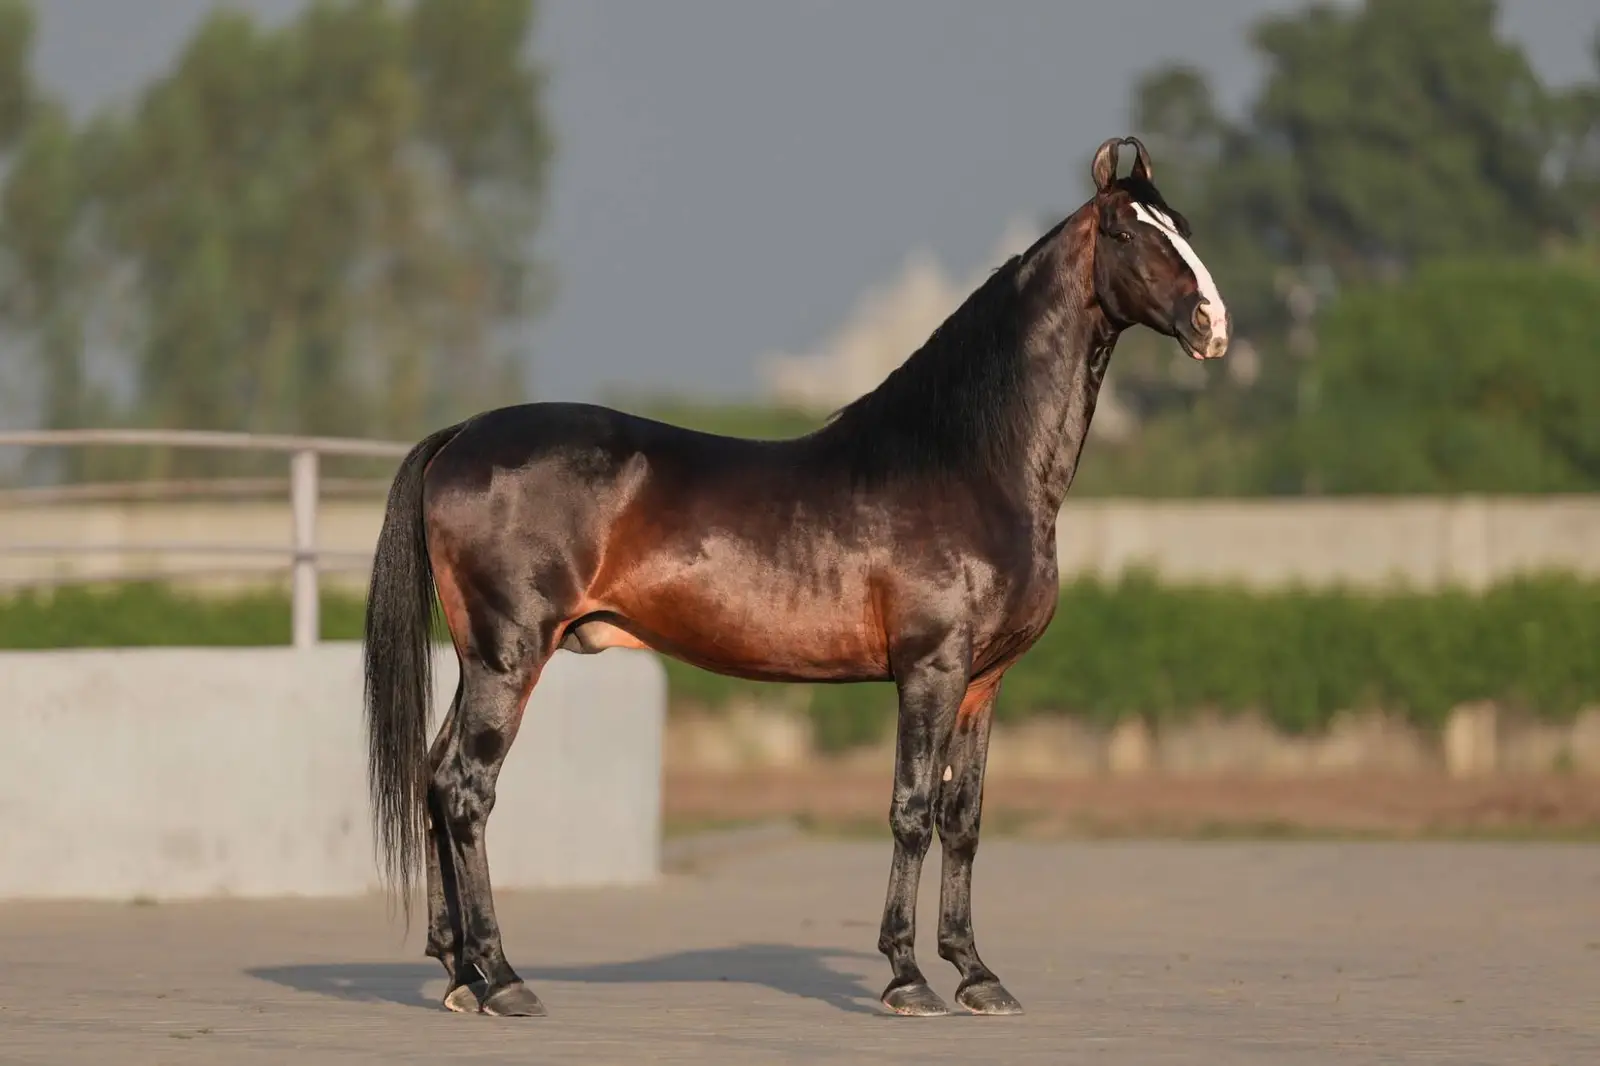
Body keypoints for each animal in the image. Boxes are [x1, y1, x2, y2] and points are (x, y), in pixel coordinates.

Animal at [362, 135, 1229, 1019]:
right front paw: (908, 978)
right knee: (466, 790)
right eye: (1126, 232)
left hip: (482, 661)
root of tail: (462, 435)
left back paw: (460, 975)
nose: (1212, 324)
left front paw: (978, 975)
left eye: (1183, 224)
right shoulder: (931, 669)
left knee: (434, 778)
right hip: (509, 657)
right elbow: (912, 811)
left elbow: (964, 820)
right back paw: (503, 978)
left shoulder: (984, 682)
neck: (966, 463)